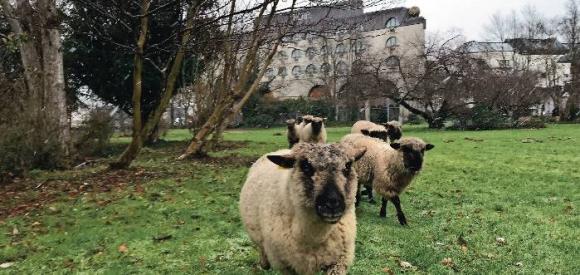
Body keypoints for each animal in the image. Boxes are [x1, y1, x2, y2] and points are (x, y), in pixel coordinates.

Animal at [240, 143, 368, 274]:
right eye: (306, 166)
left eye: (347, 166)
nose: (332, 204)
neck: (315, 237)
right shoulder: (287, 266)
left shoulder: (338, 262)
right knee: (261, 247)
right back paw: (264, 264)